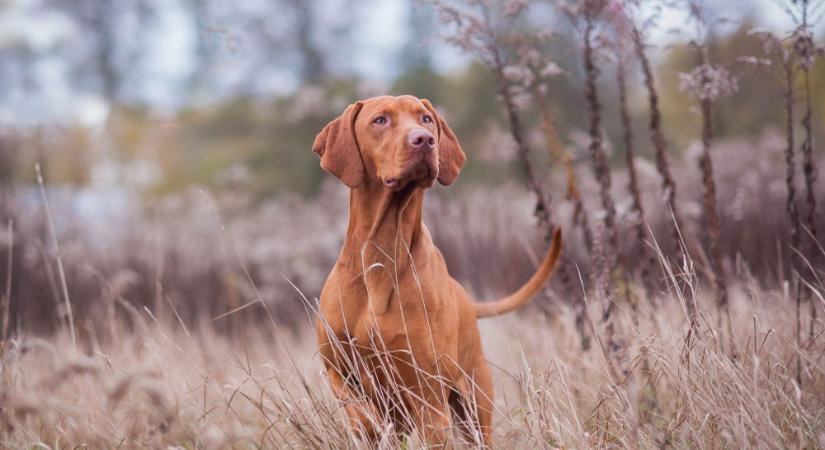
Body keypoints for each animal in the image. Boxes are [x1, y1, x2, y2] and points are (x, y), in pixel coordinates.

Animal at [312, 95, 564, 446]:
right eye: (380, 120)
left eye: (426, 119)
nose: (424, 140)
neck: (382, 252)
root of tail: (467, 300)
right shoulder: (337, 369)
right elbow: (361, 416)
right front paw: (370, 425)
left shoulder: (428, 399)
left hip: (473, 406)